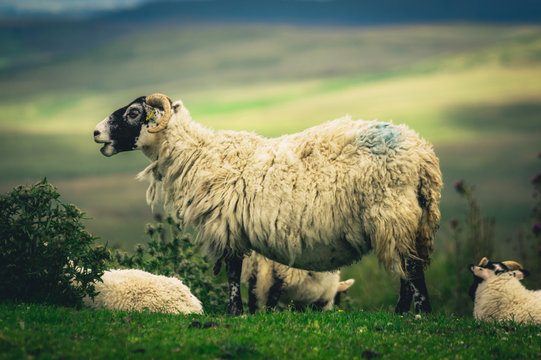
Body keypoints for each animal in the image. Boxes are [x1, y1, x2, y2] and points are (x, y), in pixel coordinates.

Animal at [92, 93, 438, 316]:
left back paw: (418, 314)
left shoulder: (226, 225)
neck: (200, 154)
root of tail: (423, 154)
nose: (95, 132)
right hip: (409, 219)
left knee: (411, 267)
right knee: (407, 267)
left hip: (393, 212)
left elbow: (232, 273)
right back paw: (401, 313)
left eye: (133, 113)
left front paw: (234, 312)